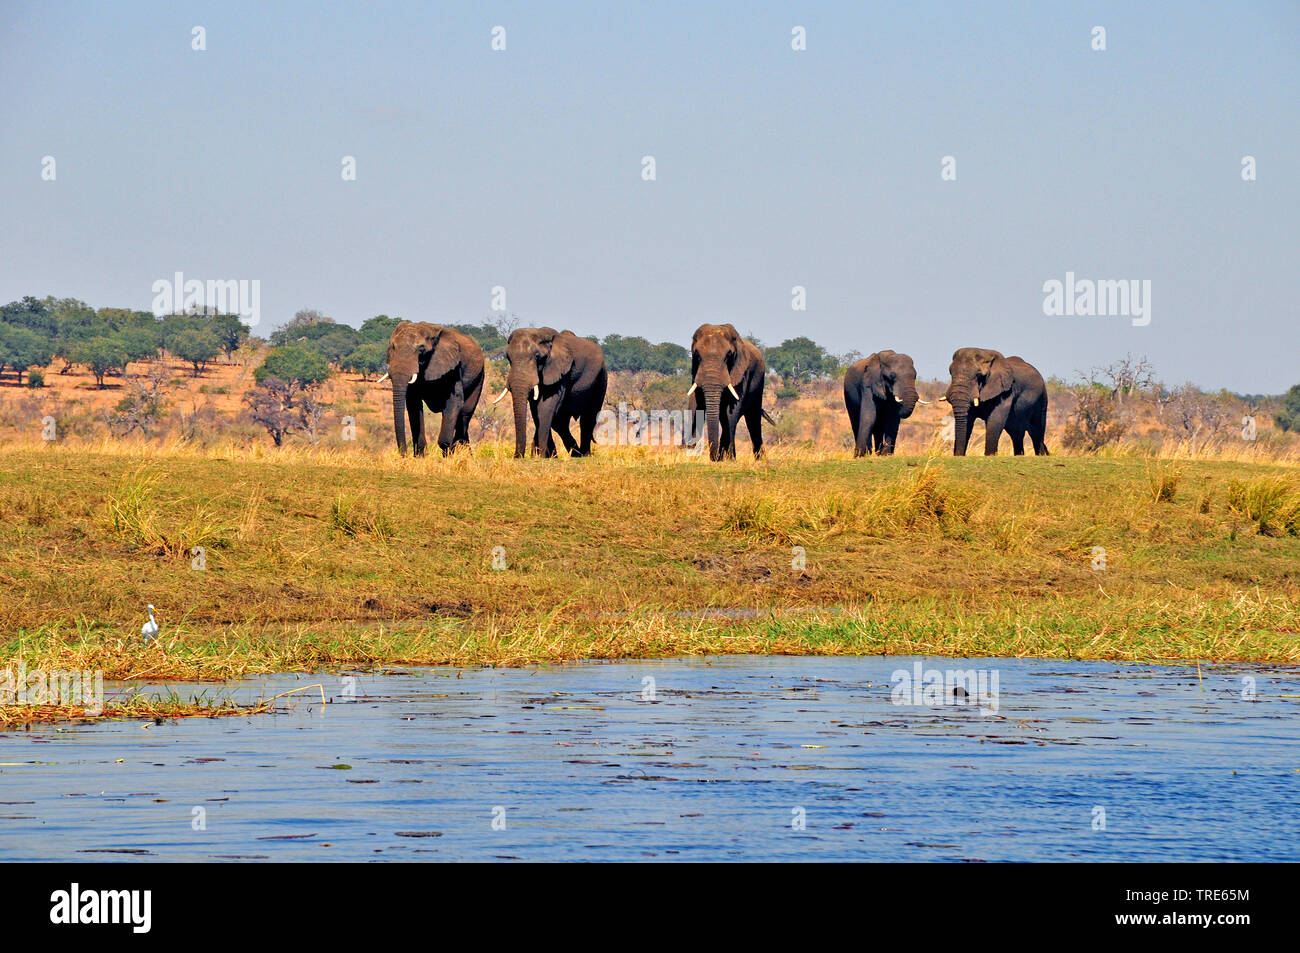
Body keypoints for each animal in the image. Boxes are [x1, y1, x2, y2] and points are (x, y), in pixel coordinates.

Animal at [387, 321, 488, 455]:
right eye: (393, 347)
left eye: (421, 350)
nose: (404, 455)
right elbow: (414, 405)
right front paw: (420, 457)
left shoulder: (453, 369)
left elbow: (454, 402)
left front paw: (448, 456)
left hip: (480, 376)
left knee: (464, 414)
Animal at [491, 327, 608, 457]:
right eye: (508, 357)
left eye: (537, 357)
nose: (517, 457)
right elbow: (536, 411)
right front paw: (546, 456)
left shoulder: (561, 371)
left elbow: (545, 408)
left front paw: (541, 456)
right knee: (561, 423)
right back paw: (575, 454)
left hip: (601, 378)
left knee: (588, 418)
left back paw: (584, 455)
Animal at [691, 323, 769, 460]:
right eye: (697, 355)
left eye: (728, 355)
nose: (714, 458)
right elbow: (697, 406)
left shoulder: (741, 373)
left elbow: (732, 410)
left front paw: (729, 459)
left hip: (759, 382)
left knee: (752, 418)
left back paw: (760, 460)